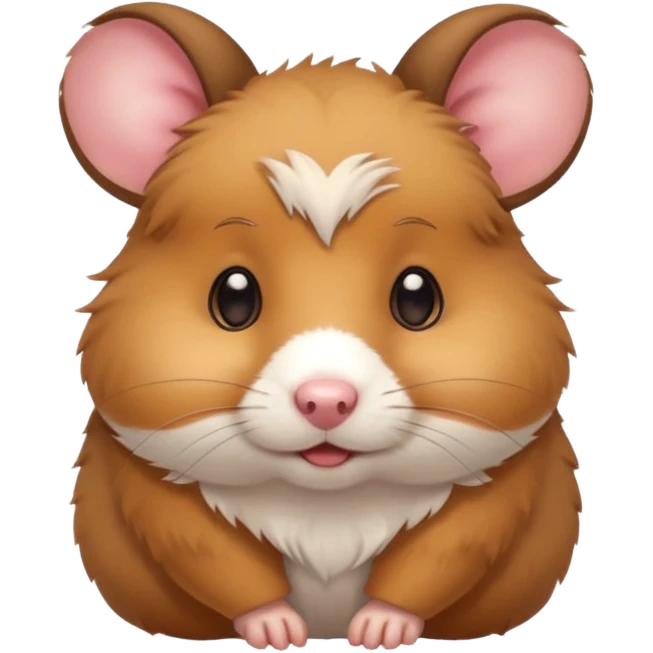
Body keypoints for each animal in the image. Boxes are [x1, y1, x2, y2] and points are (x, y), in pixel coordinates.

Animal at [61, 2, 591, 649]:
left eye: (419, 296)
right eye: (233, 296)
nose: (326, 401)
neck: (328, 507)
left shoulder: (499, 486)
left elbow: (442, 555)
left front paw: (380, 631)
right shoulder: (155, 488)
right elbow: (213, 557)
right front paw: (278, 632)